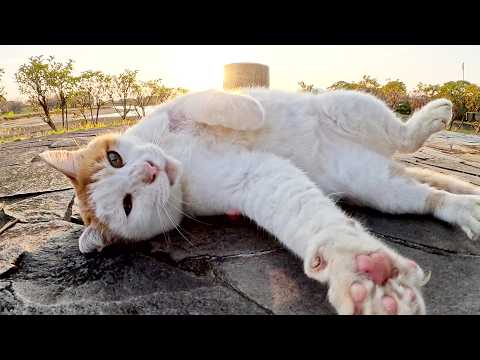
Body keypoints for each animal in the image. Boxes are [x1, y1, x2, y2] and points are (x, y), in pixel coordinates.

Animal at [38, 89, 480, 316]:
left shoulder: (177, 110)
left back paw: (433, 116)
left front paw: (251, 112)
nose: (148, 170)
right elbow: (316, 224)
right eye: (128, 204)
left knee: (403, 137)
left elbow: (210, 102)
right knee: (430, 195)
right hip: (381, 189)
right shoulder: (252, 180)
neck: (179, 159)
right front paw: (361, 272)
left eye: (115, 158)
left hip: (349, 105)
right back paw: (466, 208)